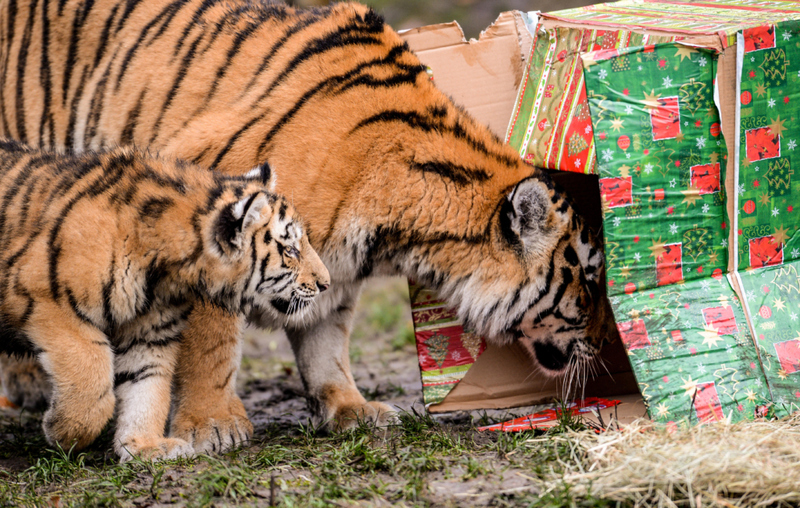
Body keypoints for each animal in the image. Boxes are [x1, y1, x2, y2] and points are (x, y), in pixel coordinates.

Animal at [0, 0, 616, 452]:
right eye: (588, 279)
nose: (607, 347)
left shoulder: (334, 265)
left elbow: (326, 336)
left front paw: (349, 408)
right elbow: (212, 338)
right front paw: (210, 425)